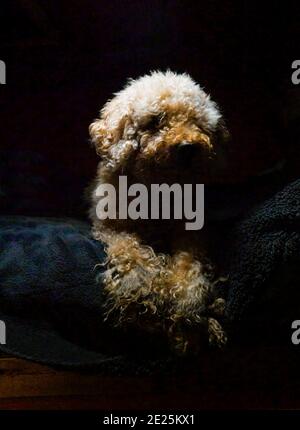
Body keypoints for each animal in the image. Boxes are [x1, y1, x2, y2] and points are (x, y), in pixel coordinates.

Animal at [89, 71, 230, 352]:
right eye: (155, 121)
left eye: (197, 121)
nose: (187, 147)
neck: (158, 189)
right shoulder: (113, 227)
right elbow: (132, 257)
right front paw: (143, 300)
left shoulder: (191, 230)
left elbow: (190, 267)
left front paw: (187, 312)